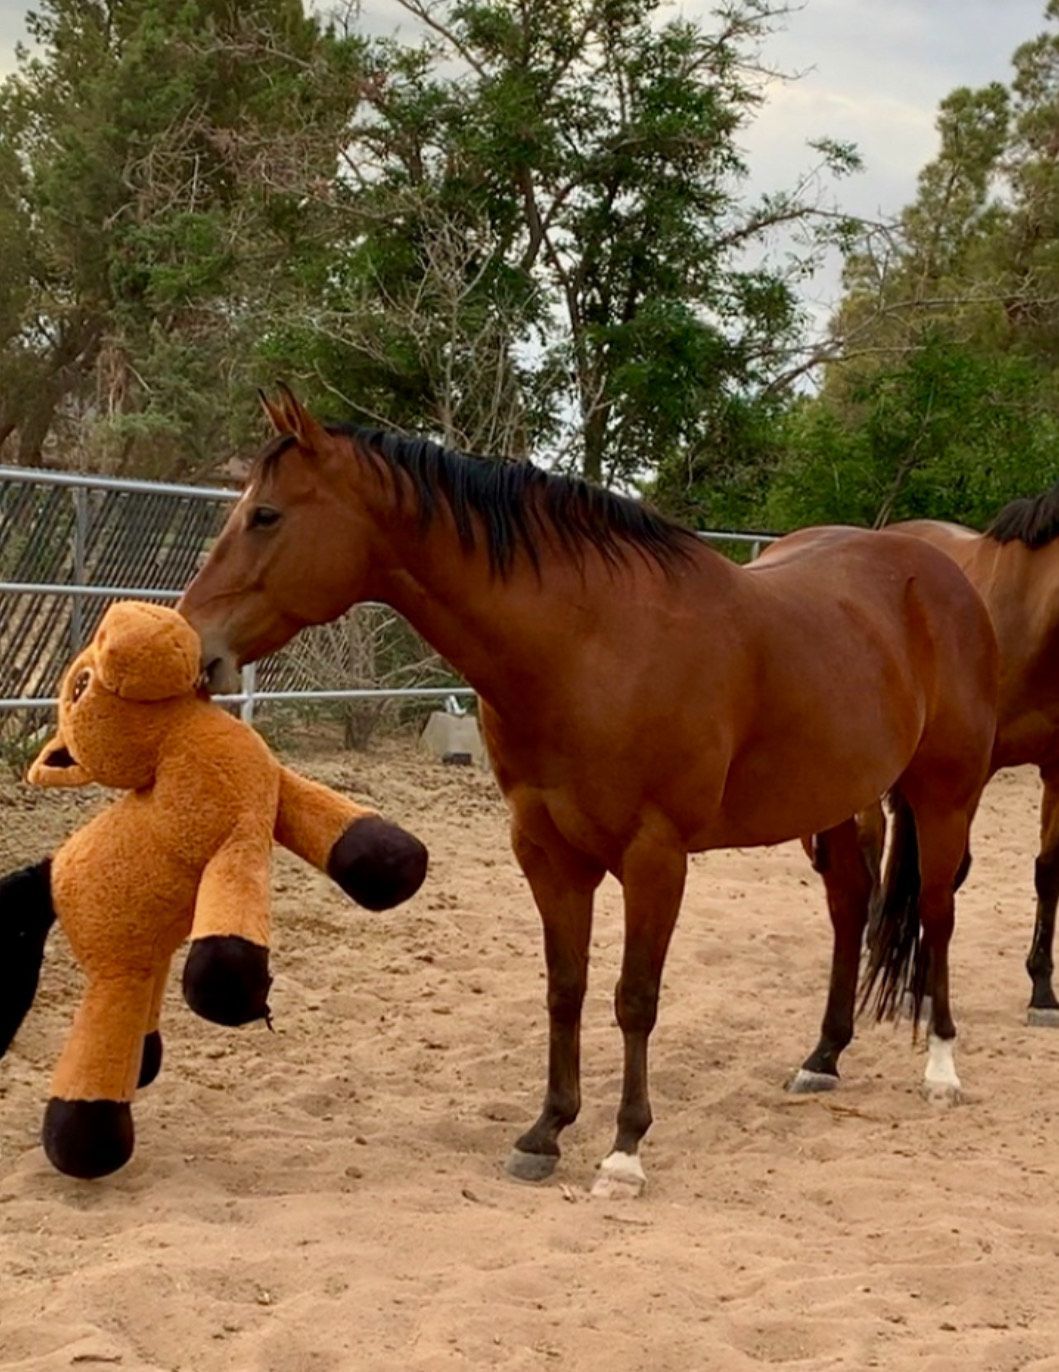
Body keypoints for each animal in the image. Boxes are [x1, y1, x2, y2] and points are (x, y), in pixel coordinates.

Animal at [178, 386, 998, 1198]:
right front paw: (545, 1131)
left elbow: (634, 997)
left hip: (943, 797)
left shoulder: (654, 855)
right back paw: (822, 1058)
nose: (195, 648)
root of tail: (936, 573)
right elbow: (565, 988)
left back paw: (941, 1069)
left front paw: (624, 1150)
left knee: (937, 912)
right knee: (850, 908)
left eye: (265, 516)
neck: (589, 644)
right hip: (831, 807)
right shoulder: (546, 851)